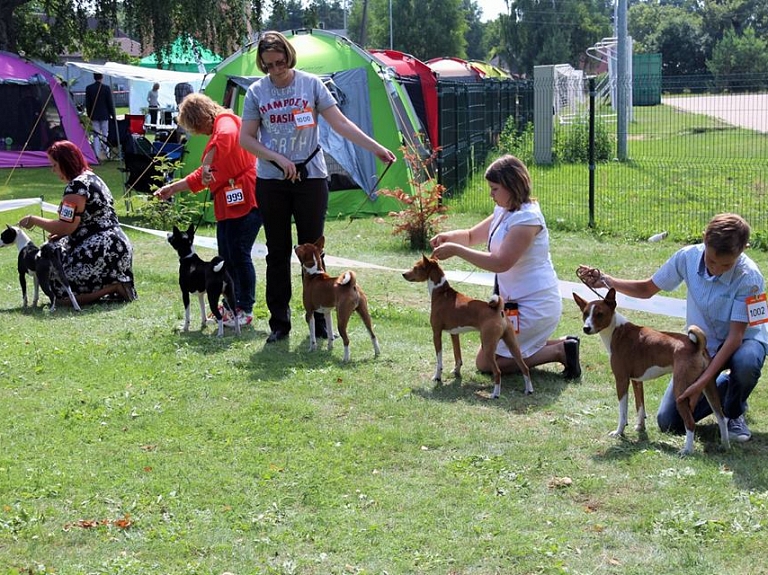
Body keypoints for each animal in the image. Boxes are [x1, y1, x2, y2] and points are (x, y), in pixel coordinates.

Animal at [402, 256, 536, 400]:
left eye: (416, 267)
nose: (403, 274)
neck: (441, 293)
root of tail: (497, 310)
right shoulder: (454, 334)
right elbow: (458, 357)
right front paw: (456, 372)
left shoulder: (436, 333)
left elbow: (439, 361)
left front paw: (437, 377)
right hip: (512, 344)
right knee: (524, 367)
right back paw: (529, 390)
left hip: (488, 346)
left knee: (498, 372)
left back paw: (495, 394)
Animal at [572, 288, 728, 454]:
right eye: (585, 313)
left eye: (599, 314)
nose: (586, 328)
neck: (616, 332)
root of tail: (697, 346)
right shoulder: (636, 380)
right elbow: (640, 406)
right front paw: (640, 427)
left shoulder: (621, 380)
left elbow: (623, 412)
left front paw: (619, 432)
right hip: (708, 386)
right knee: (721, 417)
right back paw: (725, 445)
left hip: (681, 392)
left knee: (690, 423)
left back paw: (686, 451)